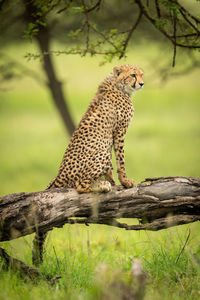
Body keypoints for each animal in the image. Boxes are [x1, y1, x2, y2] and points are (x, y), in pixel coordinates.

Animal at [47, 64, 144, 193]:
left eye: (141, 74)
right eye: (133, 75)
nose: (142, 83)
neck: (119, 85)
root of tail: (59, 176)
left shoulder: (110, 137)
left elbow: (111, 166)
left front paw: (113, 182)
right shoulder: (119, 131)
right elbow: (121, 160)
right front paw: (125, 181)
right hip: (102, 154)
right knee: (80, 186)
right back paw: (102, 186)